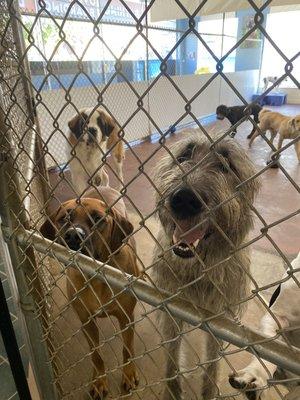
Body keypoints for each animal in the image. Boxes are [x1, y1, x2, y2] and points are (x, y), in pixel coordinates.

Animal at [39, 187, 139, 396]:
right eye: (64, 218)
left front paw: (128, 374)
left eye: (98, 219)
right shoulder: (86, 321)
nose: (73, 235)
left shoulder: (126, 317)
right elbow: (96, 355)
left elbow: (127, 349)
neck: (96, 277)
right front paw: (99, 380)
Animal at [151, 135, 258, 400]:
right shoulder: (171, 306)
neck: (197, 268)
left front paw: (208, 390)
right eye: (184, 156)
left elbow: (212, 362)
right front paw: (172, 387)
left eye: (226, 166)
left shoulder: (220, 318)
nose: (184, 198)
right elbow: (172, 351)